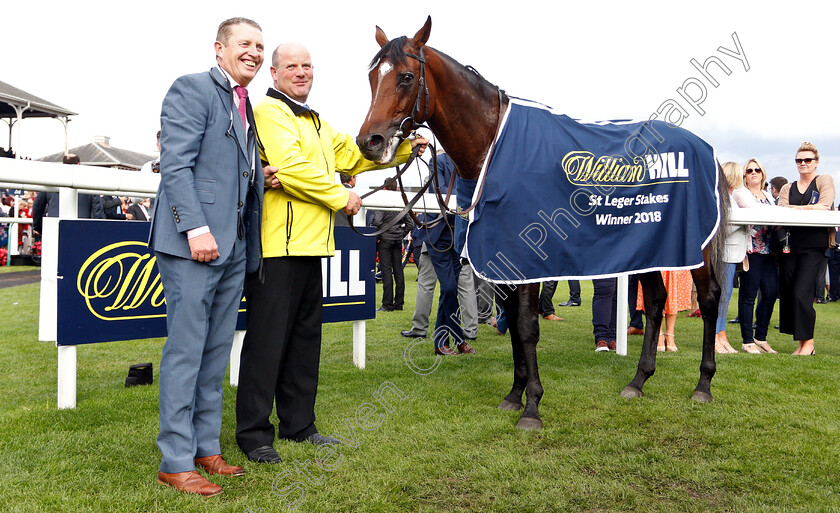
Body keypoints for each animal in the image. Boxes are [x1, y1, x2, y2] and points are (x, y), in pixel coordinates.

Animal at [356, 17, 728, 428]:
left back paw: (704, 385)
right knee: (658, 299)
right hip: (650, 246)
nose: (370, 141)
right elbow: (515, 328)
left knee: (710, 299)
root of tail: (705, 148)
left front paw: (532, 406)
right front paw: (514, 395)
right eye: (372, 77)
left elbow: (526, 328)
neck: (495, 145)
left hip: (694, 246)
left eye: (406, 77)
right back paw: (638, 381)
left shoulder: (529, 258)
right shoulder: (503, 257)